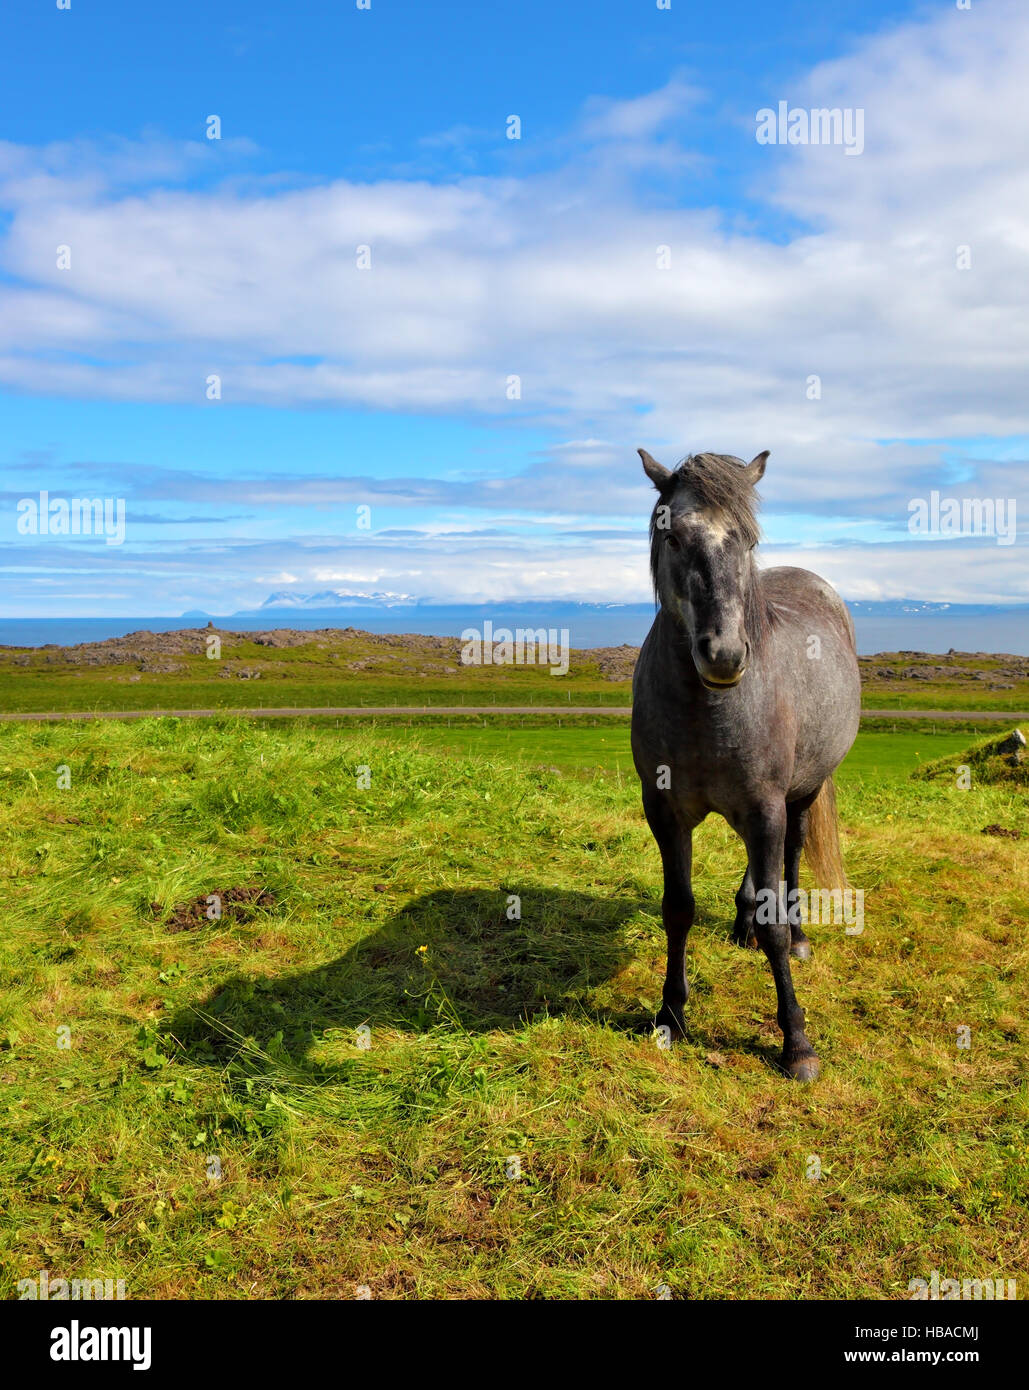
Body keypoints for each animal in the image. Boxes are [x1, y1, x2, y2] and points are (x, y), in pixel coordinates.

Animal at [625, 450, 862, 1078]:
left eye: (748, 540)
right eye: (672, 535)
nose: (726, 655)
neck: (705, 708)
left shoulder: (766, 808)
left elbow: (774, 916)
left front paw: (796, 1042)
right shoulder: (665, 812)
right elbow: (678, 909)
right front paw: (670, 1016)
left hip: (800, 795)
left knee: (792, 858)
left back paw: (799, 936)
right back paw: (740, 923)